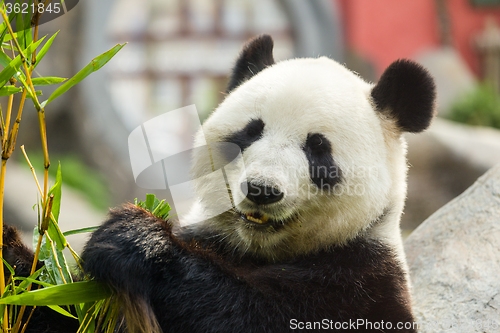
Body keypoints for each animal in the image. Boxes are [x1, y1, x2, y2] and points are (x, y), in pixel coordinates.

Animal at [2, 35, 434, 330]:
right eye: (250, 132)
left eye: (317, 149)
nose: (262, 190)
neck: (254, 251)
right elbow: (57, 308)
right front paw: (13, 255)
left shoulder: (363, 281)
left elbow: (250, 313)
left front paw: (136, 241)